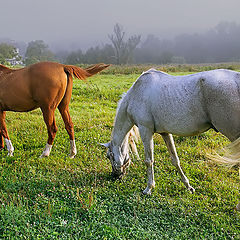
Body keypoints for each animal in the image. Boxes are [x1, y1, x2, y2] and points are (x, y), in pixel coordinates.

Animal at [101, 68, 240, 198]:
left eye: (108, 156)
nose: (115, 176)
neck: (135, 95)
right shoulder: (165, 133)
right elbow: (175, 159)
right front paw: (188, 186)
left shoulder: (145, 130)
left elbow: (149, 160)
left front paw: (149, 188)